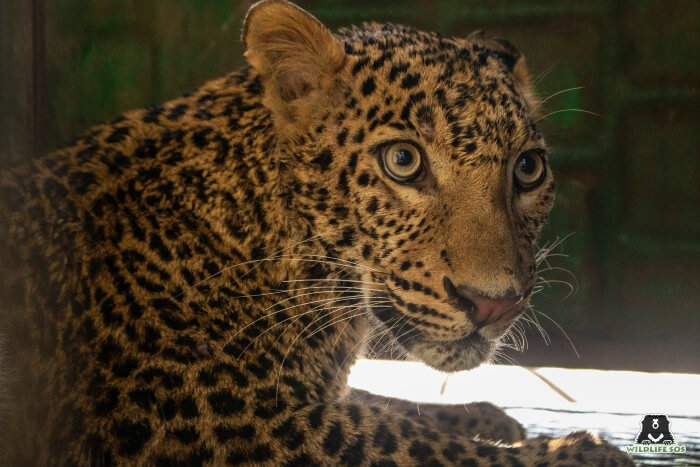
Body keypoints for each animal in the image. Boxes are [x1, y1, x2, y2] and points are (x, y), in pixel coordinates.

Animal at [0, 1, 632, 466]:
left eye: (528, 169)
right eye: (403, 161)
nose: (494, 305)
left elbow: (383, 403)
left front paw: (482, 413)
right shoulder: (250, 425)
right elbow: (421, 447)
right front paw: (578, 452)